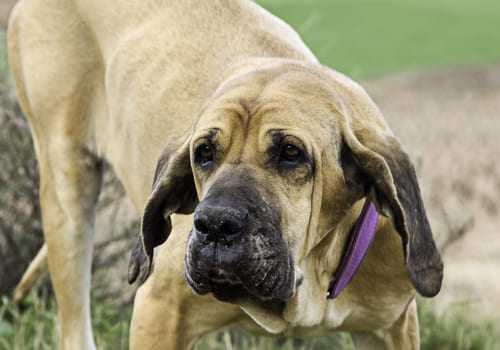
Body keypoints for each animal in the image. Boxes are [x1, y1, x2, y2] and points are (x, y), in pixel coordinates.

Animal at [8, 0, 442, 348]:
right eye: (204, 154)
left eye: (291, 153)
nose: (215, 225)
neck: (310, 280)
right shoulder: (158, 311)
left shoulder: (391, 326)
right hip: (68, 193)